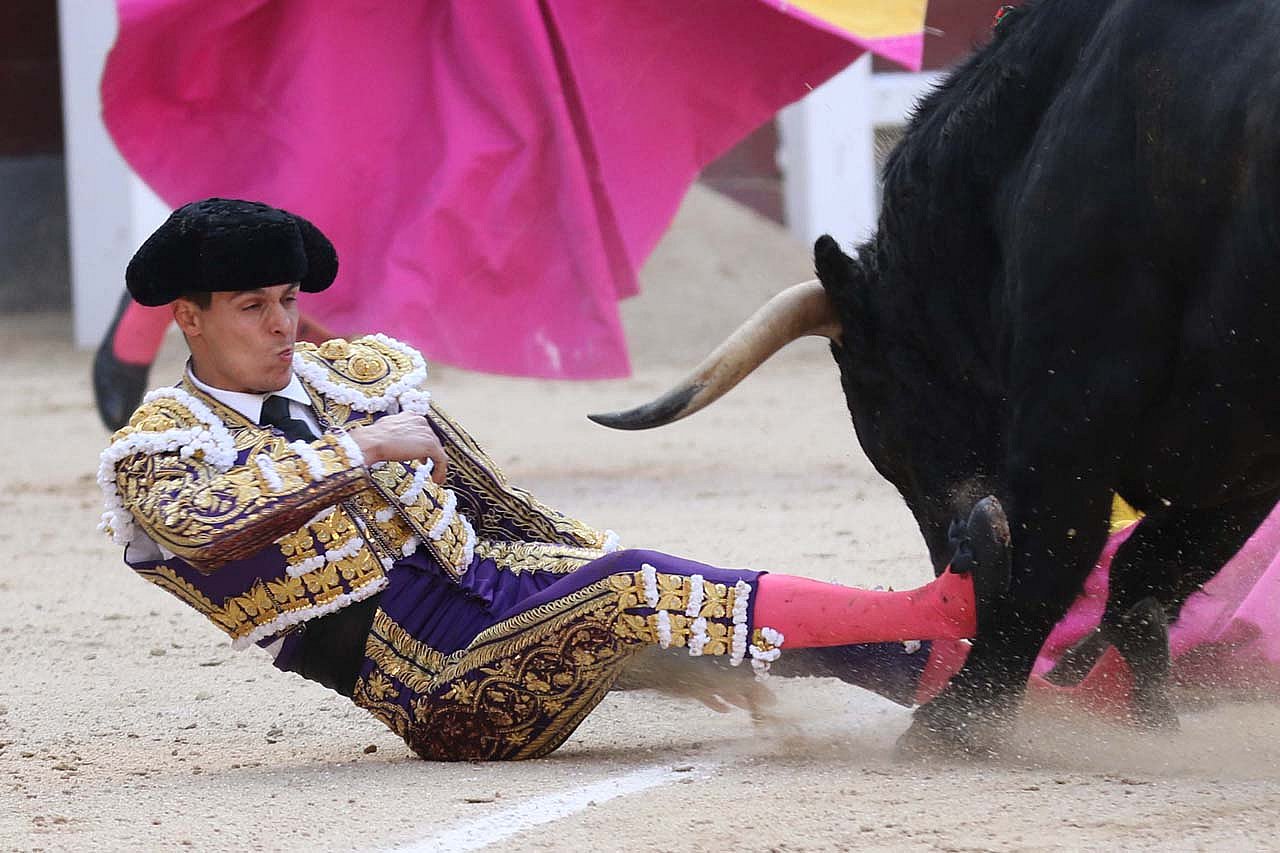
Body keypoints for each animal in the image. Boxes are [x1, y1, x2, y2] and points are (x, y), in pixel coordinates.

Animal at [589, 0, 1280, 756]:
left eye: (881, 402)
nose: (958, 555)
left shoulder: (1075, 407)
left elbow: (1061, 561)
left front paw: (953, 722)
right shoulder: (1239, 455)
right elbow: (1147, 570)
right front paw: (1142, 707)